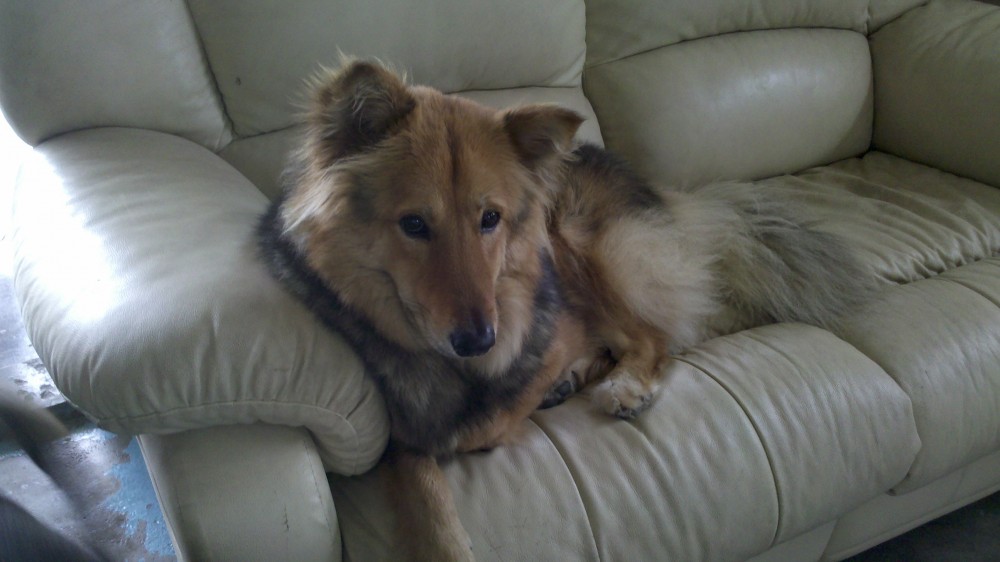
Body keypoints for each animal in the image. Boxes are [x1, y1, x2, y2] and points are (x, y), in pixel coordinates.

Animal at [257, 59, 871, 560]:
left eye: (491, 219)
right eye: (413, 223)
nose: (479, 339)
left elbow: (485, 421)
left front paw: (516, 399)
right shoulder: (401, 443)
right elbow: (422, 487)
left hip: (581, 242)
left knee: (655, 338)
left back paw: (624, 386)